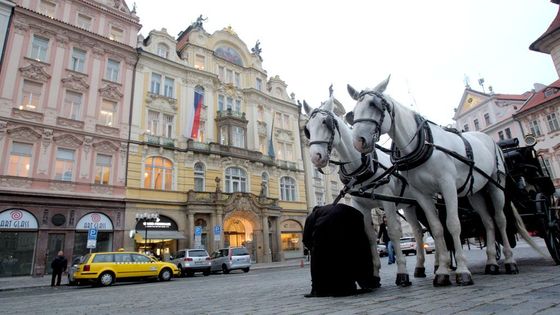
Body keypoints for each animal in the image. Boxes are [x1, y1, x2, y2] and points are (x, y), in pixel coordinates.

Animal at [304, 97, 426, 288]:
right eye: (308, 129)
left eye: (325, 122)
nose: (316, 157)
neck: (362, 167)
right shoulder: (361, 205)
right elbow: (370, 237)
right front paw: (374, 277)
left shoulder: (387, 202)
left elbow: (393, 232)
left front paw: (402, 274)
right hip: (408, 206)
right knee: (418, 231)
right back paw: (421, 267)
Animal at [346, 76, 540, 286]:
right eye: (354, 111)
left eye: (375, 105)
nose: (358, 142)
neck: (424, 144)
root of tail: (489, 139)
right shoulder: (422, 195)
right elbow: (437, 228)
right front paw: (442, 272)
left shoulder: (447, 187)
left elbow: (453, 224)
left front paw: (462, 271)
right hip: (475, 192)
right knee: (488, 222)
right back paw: (491, 264)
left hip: (496, 185)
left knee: (500, 220)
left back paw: (510, 262)